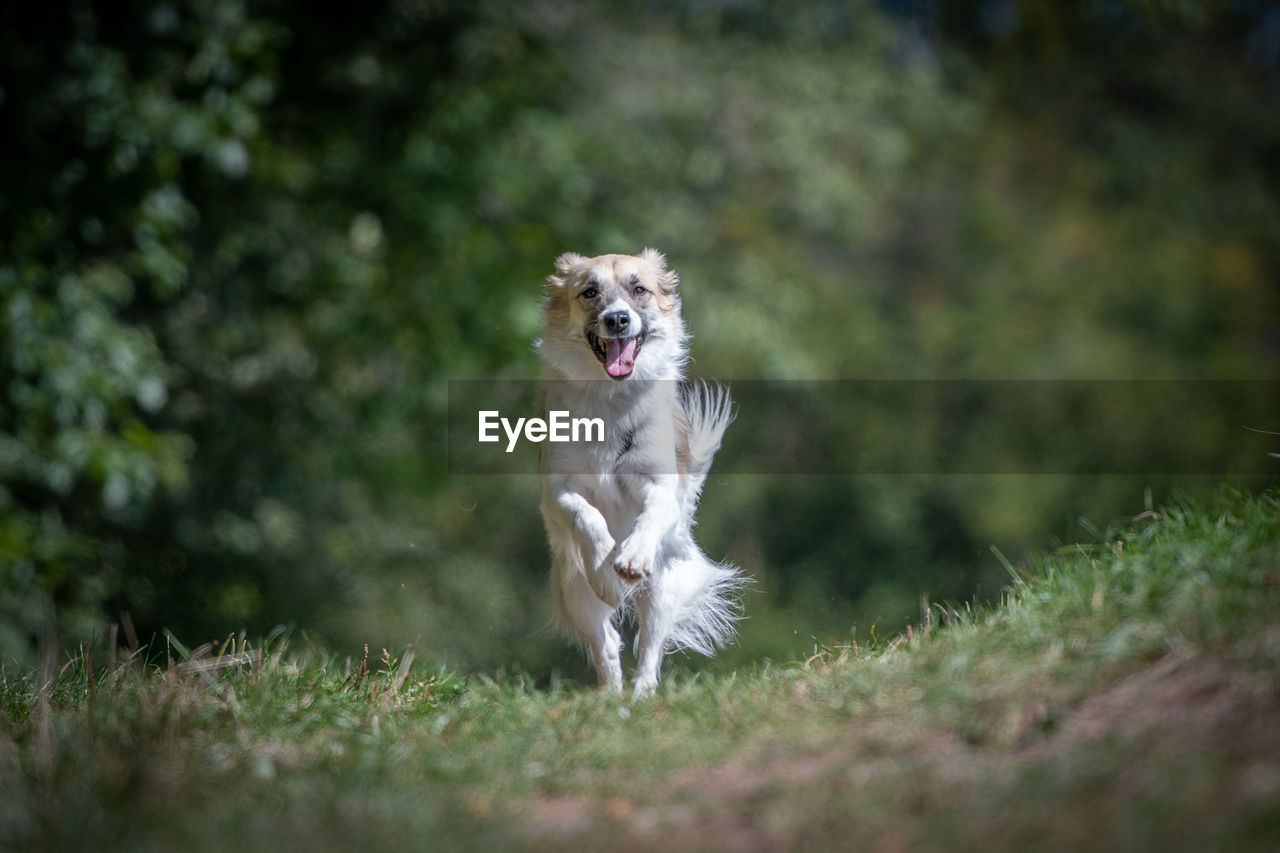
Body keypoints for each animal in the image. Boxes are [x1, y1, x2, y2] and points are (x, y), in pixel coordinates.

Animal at [537, 245, 742, 691]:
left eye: (639, 289)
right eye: (589, 291)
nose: (617, 319)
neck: (611, 403)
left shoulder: (659, 484)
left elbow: (649, 516)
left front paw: (630, 557)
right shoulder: (557, 491)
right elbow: (587, 516)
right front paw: (606, 568)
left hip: (663, 587)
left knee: (649, 643)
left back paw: (643, 692)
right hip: (574, 591)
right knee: (607, 642)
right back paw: (610, 692)